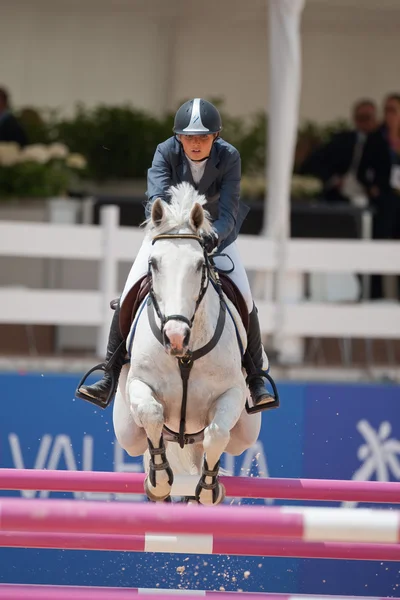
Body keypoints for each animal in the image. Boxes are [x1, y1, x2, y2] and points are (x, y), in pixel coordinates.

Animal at [112, 185, 262, 504]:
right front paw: (158, 481)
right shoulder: (140, 384)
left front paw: (207, 489)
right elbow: (152, 414)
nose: (175, 336)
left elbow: (217, 434)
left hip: (246, 432)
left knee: (218, 442)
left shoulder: (231, 393)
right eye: (153, 264)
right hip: (127, 431)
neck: (185, 355)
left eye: (199, 265)